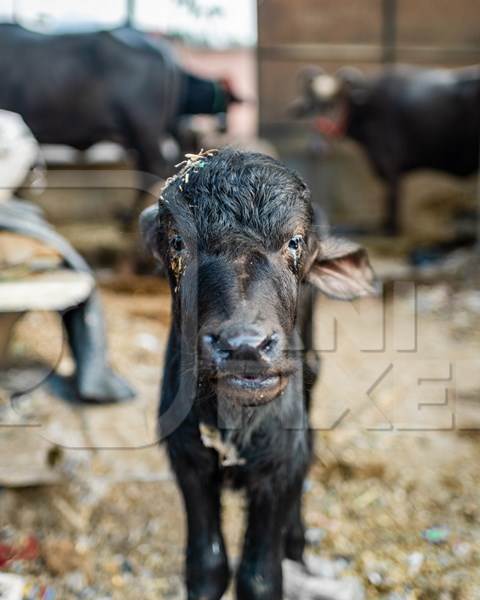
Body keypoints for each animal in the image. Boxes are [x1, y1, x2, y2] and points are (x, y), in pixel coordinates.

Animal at [290, 65, 480, 233]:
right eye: (311, 106)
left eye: (334, 104)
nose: (318, 146)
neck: (367, 111)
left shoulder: (390, 168)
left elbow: (391, 200)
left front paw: (390, 229)